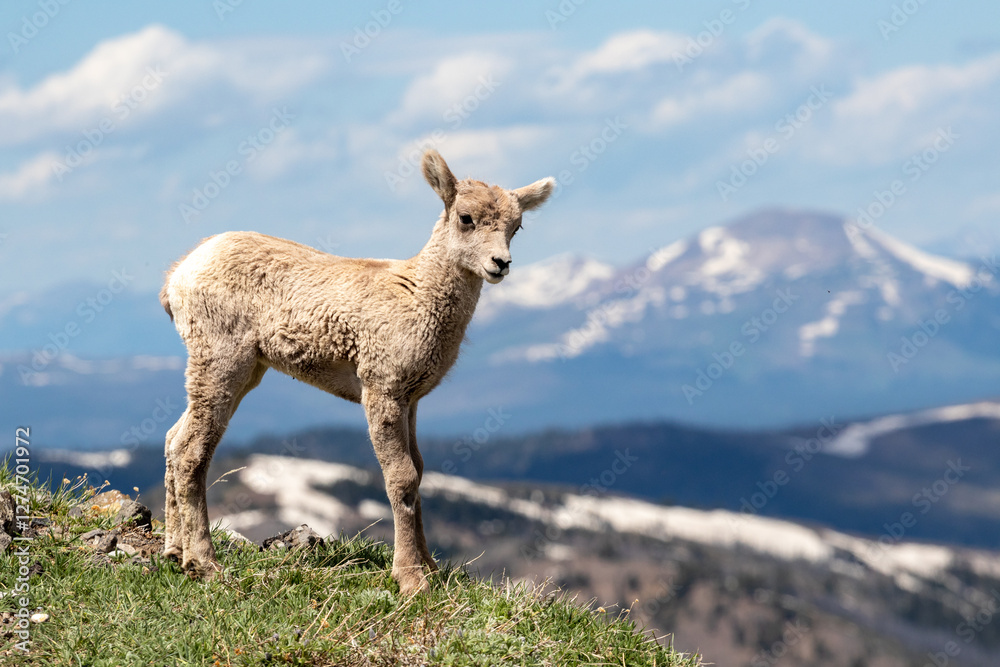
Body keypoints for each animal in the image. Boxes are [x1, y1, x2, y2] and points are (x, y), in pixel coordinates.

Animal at [159, 150, 555, 594]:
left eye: (516, 227)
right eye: (466, 217)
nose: (500, 264)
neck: (416, 295)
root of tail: (177, 277)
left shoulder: (411, 399)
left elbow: (419, 471)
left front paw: (431, 568)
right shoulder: (382, 389)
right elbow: (402, 477)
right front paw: (411, 579)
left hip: (242, 371)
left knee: (174, 439)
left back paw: (174, 552)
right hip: (221, 359)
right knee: (191, 449)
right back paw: (204, 565)